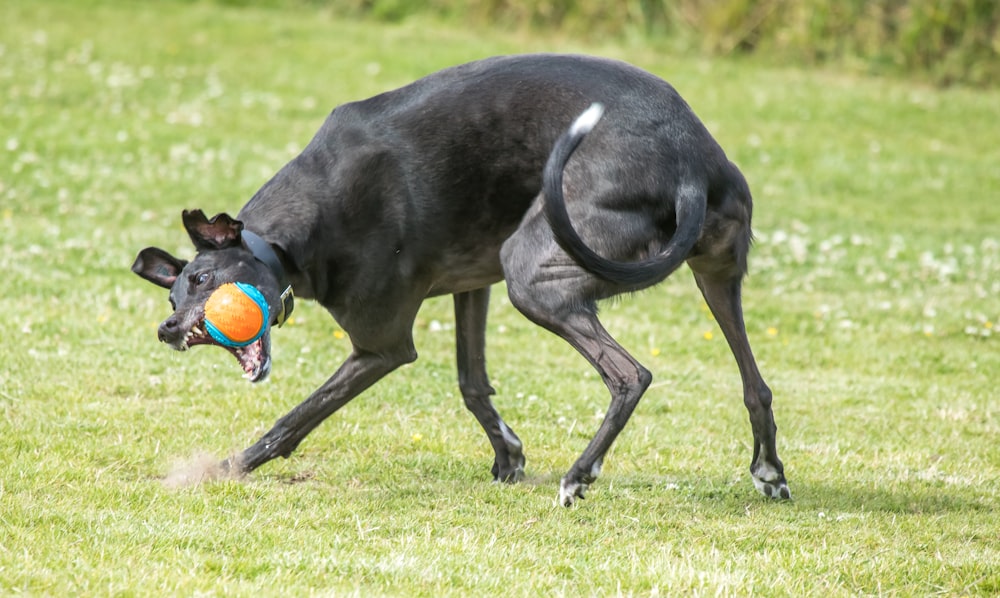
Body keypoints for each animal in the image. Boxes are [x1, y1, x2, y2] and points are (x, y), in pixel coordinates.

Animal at [133, 52, 788, 506]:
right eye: (172, 292)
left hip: (534, 274)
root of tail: (687, 165)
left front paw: (226, 468)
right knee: (755, 383)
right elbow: (472, 384)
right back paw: (770, 472)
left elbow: (295, 418)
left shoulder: (382, 345)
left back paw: (580, 476)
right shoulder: (473, 283)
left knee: (630, 375)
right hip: (715, 273)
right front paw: (508, 457)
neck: (291, 235)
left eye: (205, 278)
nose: (168, 329)